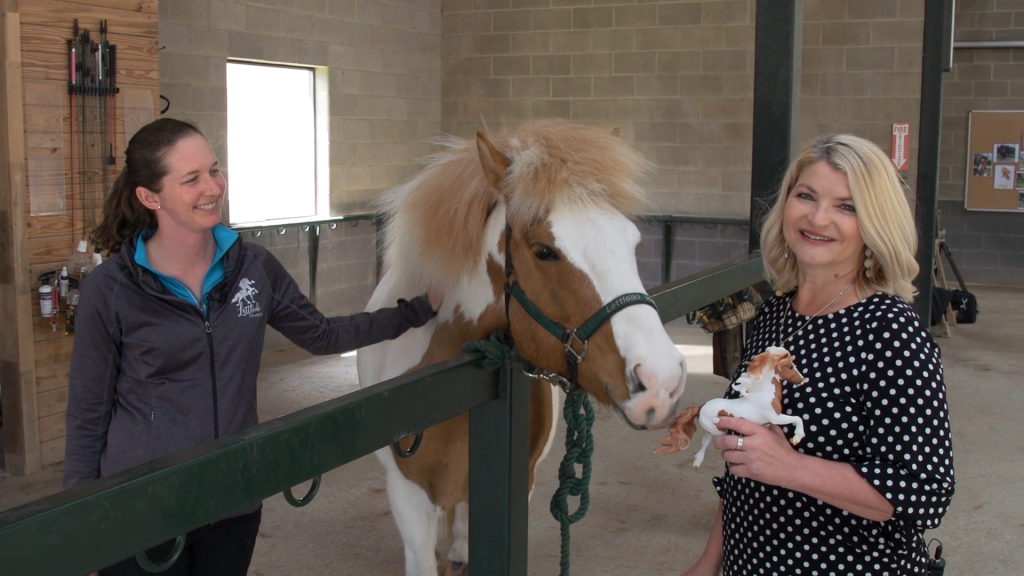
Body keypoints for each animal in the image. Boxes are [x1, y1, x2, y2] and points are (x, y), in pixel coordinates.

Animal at [655, 344, 806, 467]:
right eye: (791, 366)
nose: (802, 380)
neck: (765, 394)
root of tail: (700, 407)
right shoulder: (776, 418)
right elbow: (797, 418)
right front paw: (797, 438)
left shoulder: (768, 423)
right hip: (718, 429)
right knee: (709, 440)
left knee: (706, 440)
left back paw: (697, 461)